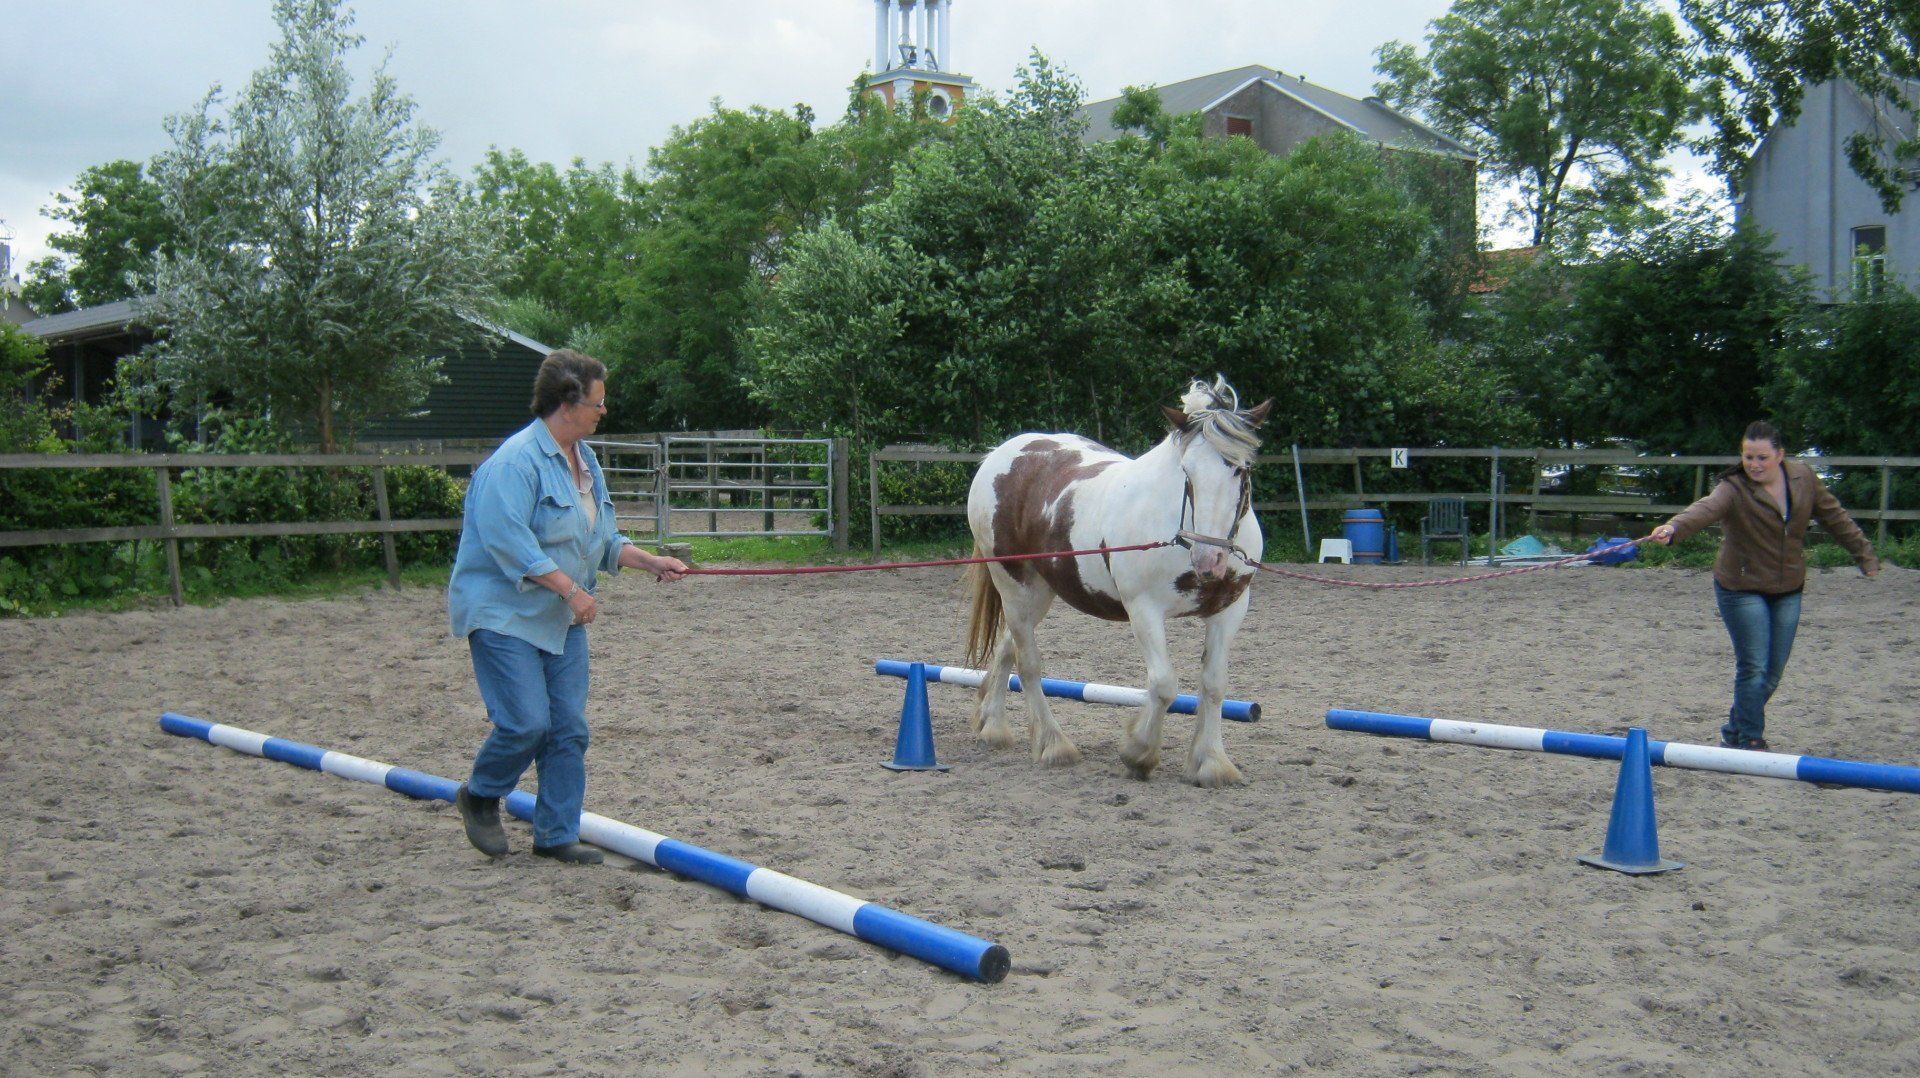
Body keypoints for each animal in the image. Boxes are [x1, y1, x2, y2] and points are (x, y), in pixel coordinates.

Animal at [962, 376, 1270, 787]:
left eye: (1240, 469)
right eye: (1187, 472)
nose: (1210, 559)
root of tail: (1000, 455)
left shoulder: (1229, 611)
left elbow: (1214, 684)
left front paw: (1211, 761)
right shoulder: (1144, 610)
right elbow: (1163, 685)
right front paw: (1139, 753)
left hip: (1039, 593)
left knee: (1007, 648)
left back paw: (993, 725)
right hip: (1014, 586)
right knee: (1028, 664)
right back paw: (1053, 744)